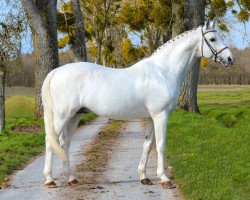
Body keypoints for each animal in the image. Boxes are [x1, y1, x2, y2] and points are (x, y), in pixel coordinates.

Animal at [41, 20, 234, 189]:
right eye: (212, 39)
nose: (230, 58)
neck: (162, 72)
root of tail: (56, 71)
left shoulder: (150, 117)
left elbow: (147, 145)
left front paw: (144, 177)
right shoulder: (160, 115)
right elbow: (160, 145)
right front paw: (164, 179)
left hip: (75, 115)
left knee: (65, 143)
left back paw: (71, 178)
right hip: (62, 116)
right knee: (51, 142)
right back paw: (50, 180)